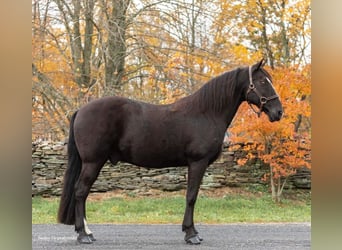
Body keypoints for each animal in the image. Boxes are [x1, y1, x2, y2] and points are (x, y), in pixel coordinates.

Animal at [57, 60, 282, 244]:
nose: (278, 112)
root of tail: (81, 110)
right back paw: (83, 235)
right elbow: (191, 196)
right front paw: (191, 234)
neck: (206, 113)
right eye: (262, 81)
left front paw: (191, 231)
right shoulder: (197, 163)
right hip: (93, 162)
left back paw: (87, 232)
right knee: (80, 192)